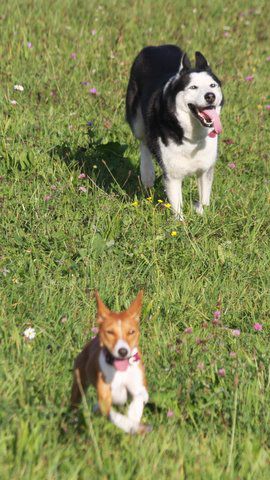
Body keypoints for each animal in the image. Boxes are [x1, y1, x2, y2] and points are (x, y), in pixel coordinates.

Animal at [70, 290, 150, 434]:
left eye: (131, 332)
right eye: (110, 332)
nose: (123, 351)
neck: (120, 371)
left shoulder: (140, 387)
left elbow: (140, 397)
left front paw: (133, 415)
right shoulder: (104, 395)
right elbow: (113, 411)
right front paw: (129, 424)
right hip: (79, 383)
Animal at [126, 44, 224, 218]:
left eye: (212, 85)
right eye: (193, 87)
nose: (210, 96)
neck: (191, 136)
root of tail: (155, 47)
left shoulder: (205, 169)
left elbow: (204, 200)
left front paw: (202, 215)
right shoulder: (172, 175)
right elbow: (177, 207)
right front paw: (181, 222)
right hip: (137, 120)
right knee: (144, 141)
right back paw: (147, 174)